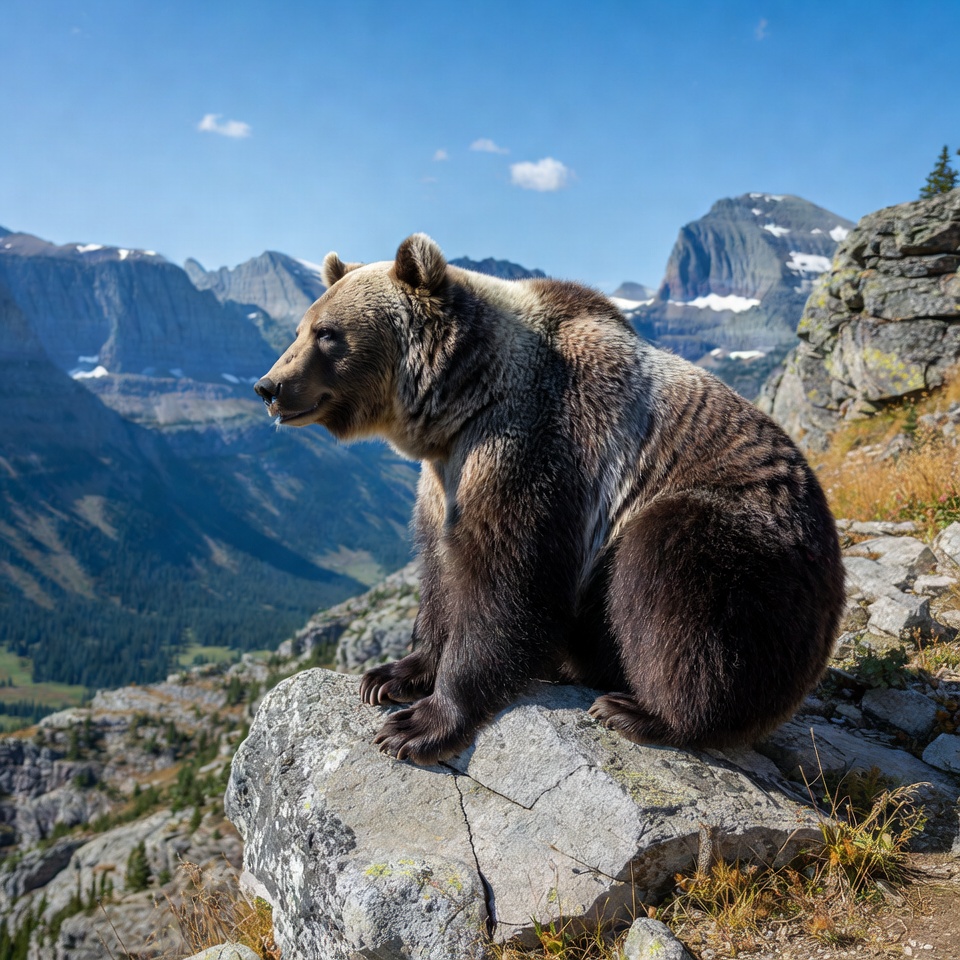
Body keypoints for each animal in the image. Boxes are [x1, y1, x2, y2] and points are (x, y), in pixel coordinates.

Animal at [254, 233, 845, 766]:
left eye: (327, 333)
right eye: (302, 327)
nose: (269, 386)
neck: (462, 400)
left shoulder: (539, 447)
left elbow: (506, 580)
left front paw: (420, 724)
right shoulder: (445, 478)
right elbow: (441, 570)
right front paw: (391, 675)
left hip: (750, 550)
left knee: (674, 580)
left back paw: (644, 712)